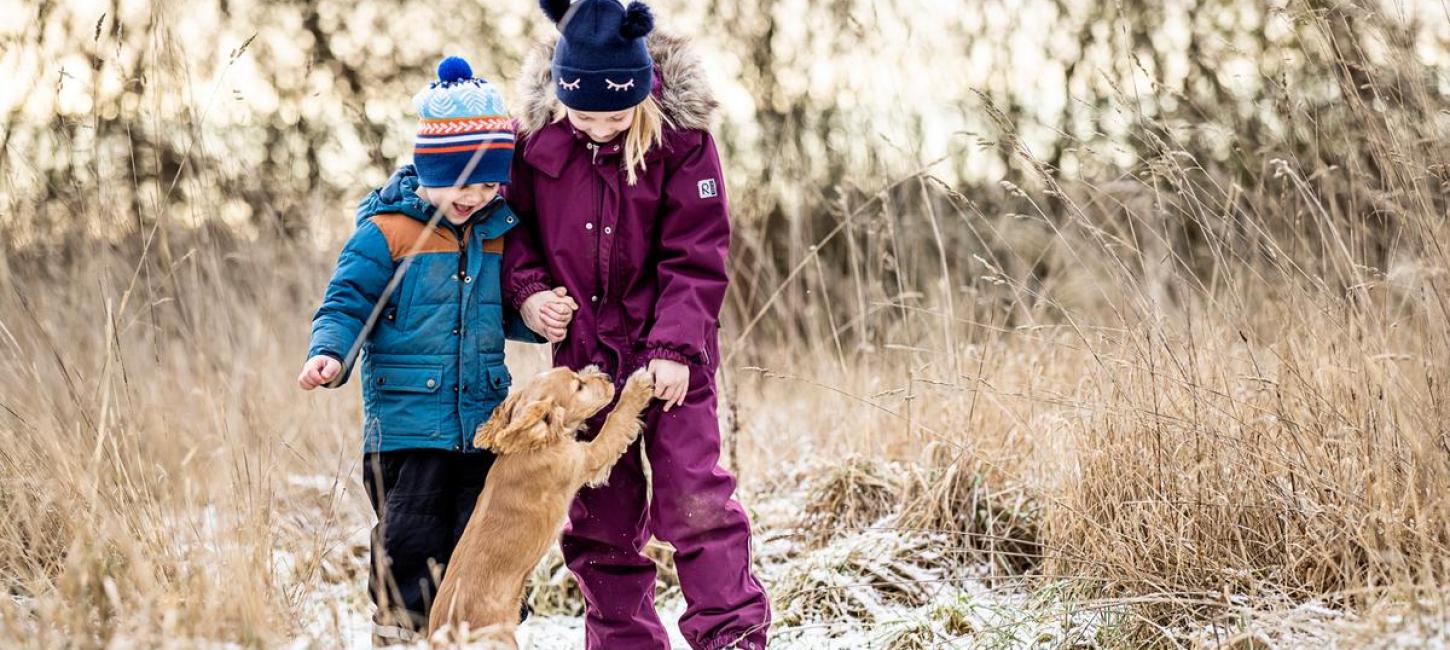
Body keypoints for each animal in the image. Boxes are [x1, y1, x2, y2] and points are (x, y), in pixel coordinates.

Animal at [426, 365, 655, 644]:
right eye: (578, 387)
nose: (608, 377)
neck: (531, 446)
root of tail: (444, 635)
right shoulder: (588, 456)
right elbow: (616, 419)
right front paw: (638, 385)